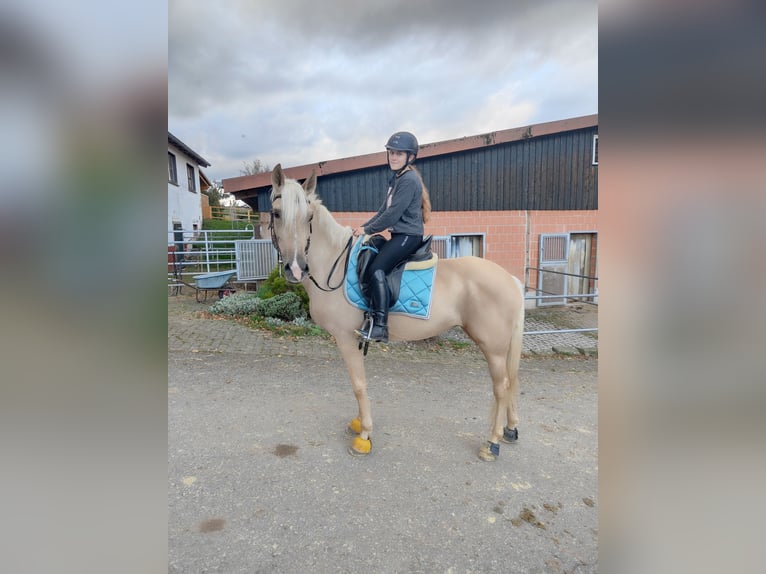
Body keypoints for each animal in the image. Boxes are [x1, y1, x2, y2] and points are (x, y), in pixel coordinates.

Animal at [268, 165, 524, 464]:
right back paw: (509, 429)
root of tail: (510, 279)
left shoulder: (345, 338)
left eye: (308, 217)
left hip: (493, 348)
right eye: (276, 214)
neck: (335, 263)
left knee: (501, 387)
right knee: (509, 384)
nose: (296, 269)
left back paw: (491, 443)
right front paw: (359, 423)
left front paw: (364, 436)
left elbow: (358, 384)